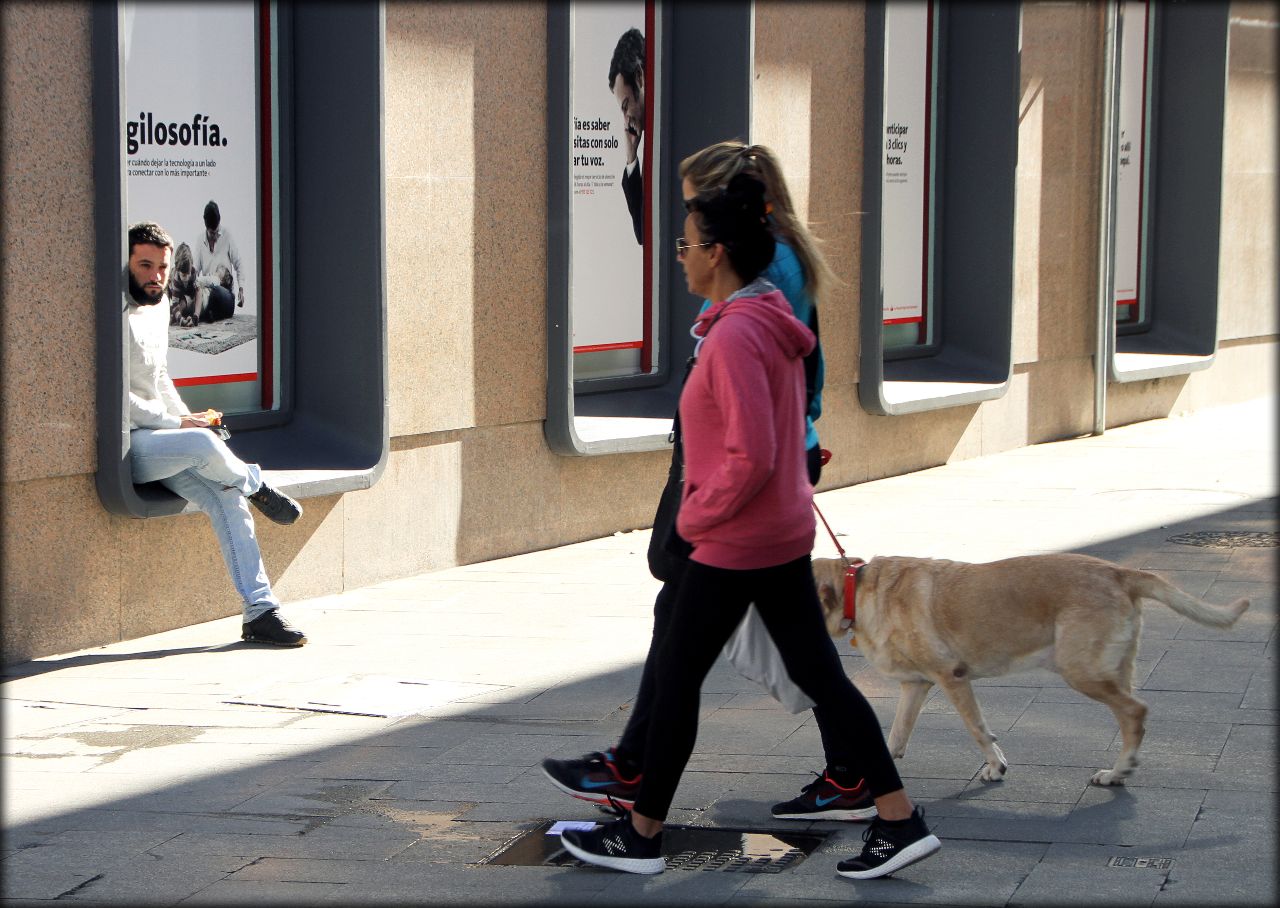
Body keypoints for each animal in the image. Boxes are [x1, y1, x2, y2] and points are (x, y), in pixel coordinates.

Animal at [819, 553, 1249, 783]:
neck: (858, 587)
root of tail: (1119, 572)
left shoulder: (951, 677)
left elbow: (977, 728)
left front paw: (995, 766)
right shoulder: (916, 686)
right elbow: (896, 736)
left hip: (1081, 671)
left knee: (1135, 712)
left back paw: (1120, 771)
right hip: (1113, 669)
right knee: (1131, 714)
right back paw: (1119, 770)